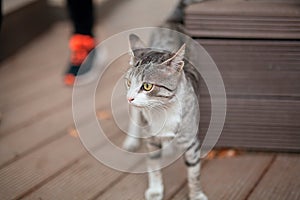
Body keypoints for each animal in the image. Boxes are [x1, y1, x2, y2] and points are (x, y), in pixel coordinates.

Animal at [122, 32, 206, 199]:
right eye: (129, 83)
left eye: (147, 86)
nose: (129, 98)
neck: (162, 109)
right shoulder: (151, 138)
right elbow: (153, 164)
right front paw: (155, 190)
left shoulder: (190, 139)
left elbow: (194, 172)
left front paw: (196, 194)